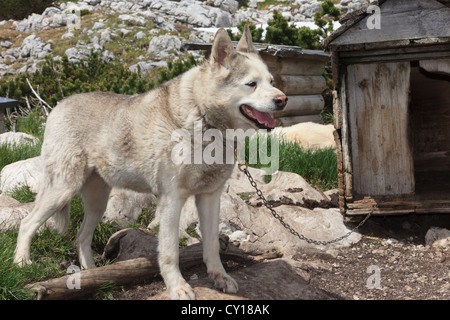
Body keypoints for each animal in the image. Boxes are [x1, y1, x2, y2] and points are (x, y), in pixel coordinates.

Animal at [15, 25, 288, 300]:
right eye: (251, 84)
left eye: (272, 82)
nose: (282, 100)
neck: (204, 121)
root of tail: (58, 107)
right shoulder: (172, 200)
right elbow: (169, 252)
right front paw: (177, 287)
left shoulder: (210, 197)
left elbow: (211, 245)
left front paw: (219, 278)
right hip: (63, 190)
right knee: (27, 224)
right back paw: (22, 263)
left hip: (97, 203)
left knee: (81, 236)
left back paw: (92, 272)